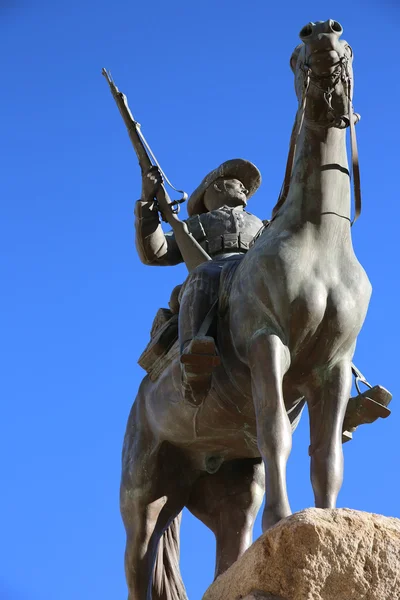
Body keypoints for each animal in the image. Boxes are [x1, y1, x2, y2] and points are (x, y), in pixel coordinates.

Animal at [120, 21, 370, 600]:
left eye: (345, 42)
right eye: (297, 50)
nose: (323, 30)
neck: (318, 239)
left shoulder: (335, 367)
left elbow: (327, 454)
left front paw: (326, 516)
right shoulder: (266, 345)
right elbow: (276, 430)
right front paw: (283, 520)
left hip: (227, 493)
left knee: (230, 550)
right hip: (144, 500)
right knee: (137, 560)